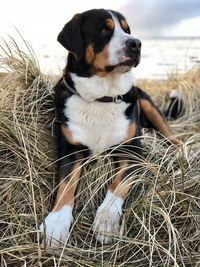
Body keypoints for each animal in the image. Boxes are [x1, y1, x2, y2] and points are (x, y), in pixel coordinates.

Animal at [39, 7, 181, 247]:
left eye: (127, 30)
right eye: (104, 30)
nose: (136, 43)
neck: (101, 99)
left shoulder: (131, 150)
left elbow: (117, 185)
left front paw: (106, 219)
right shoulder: (70, 150)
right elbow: (66, 185)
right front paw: (56, 223)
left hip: (145, 103)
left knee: (174, 138)